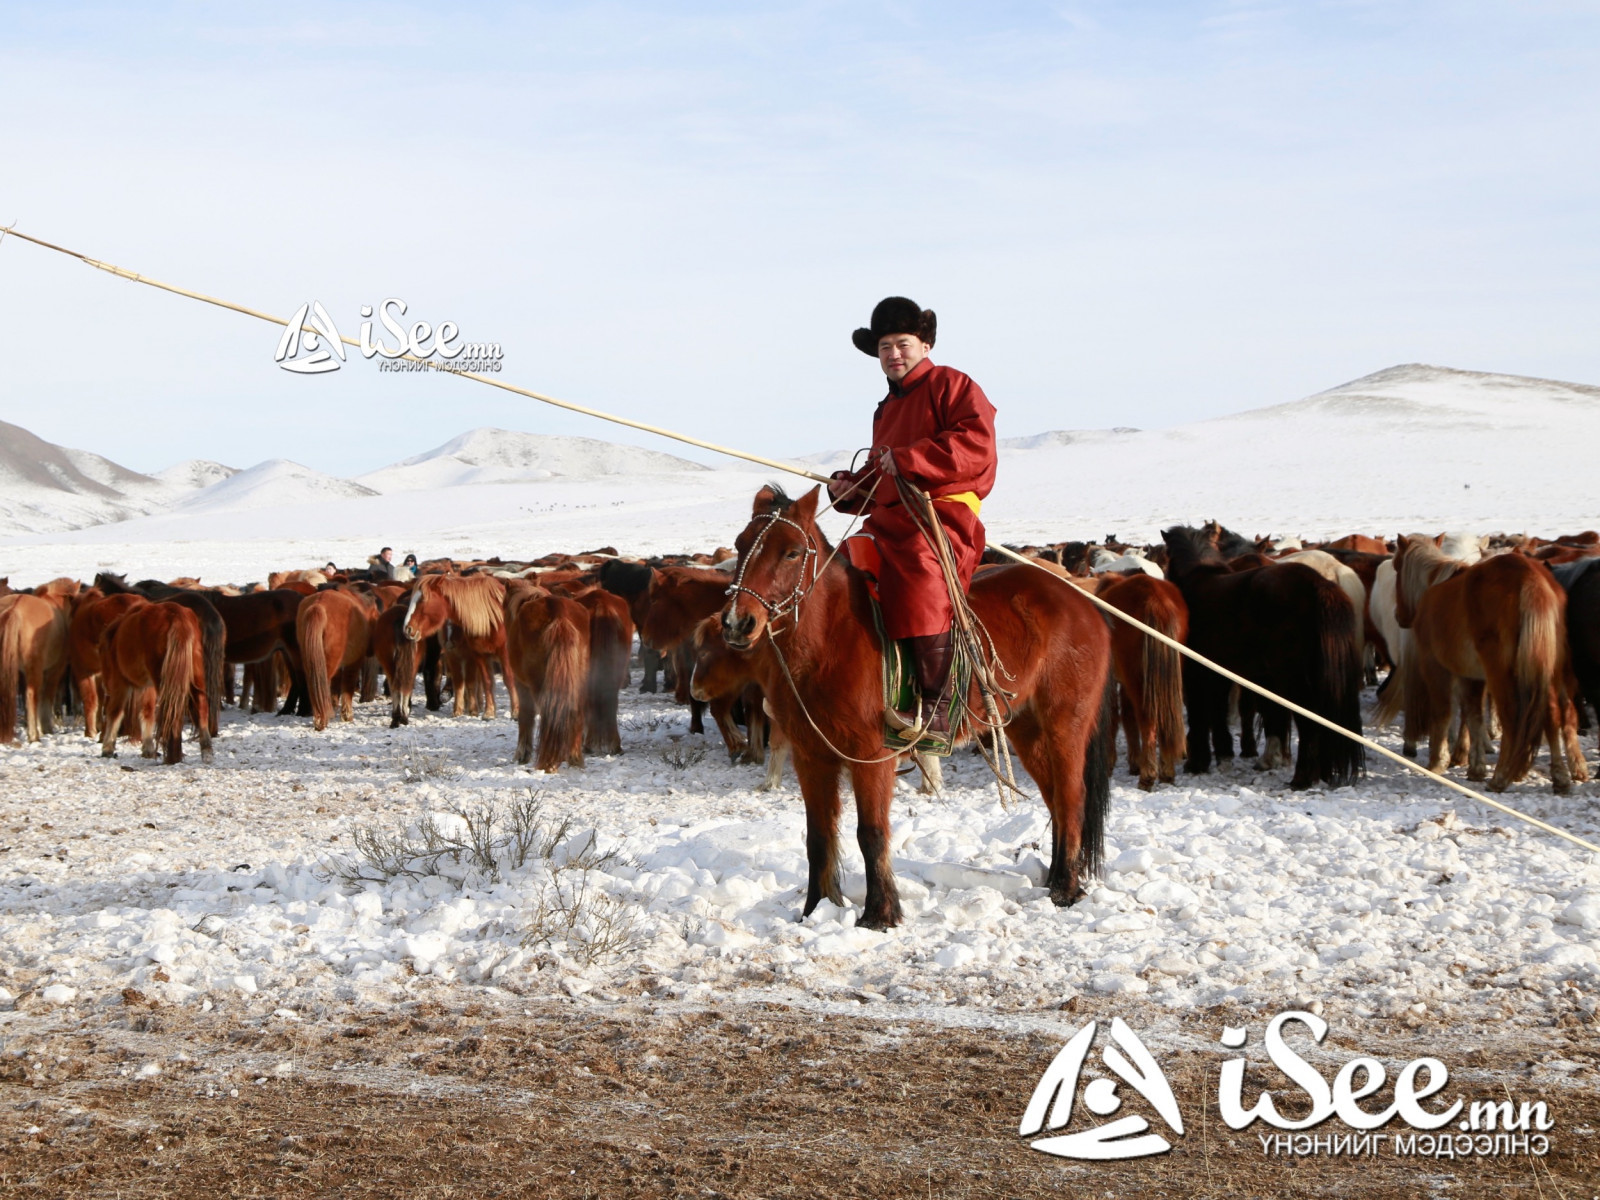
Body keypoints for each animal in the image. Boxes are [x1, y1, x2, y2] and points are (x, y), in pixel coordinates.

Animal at [97, 604, 212, 764]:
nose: (105, 686)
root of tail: (176, 614)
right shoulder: (148, 686)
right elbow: (147, 713)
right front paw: (148, 749)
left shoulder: (120, 682)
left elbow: (115, 712)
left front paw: (107, 748)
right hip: (195, 673)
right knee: (201, 706)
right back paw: (205, 751)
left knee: (173, 710)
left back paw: (172, 756)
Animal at [299, 588, 376, 732]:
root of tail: (319, 604)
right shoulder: (353, 662)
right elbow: (347, 686)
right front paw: (347, 715)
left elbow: (335, 686)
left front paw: (334, 706)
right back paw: (322, 720)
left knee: (314, 687)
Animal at [723, 489, 1113, 928]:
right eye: (740, 544)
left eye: (791, 552)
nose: (737, 623)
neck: (830, 639)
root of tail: (1085, 604)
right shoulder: (812, 756)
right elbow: (819, 836)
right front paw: (815, 910)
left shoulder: (871, 755)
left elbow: (871, 833)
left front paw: (880, 913)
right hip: (1026, 729)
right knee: (1055, 799)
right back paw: (1060, 879)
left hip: (1065, 726)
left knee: (1071, 797)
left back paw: (1066, 888)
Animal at [1395, 540, 1580, 793]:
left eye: (1396, 565)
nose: (1399, 616)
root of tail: (1529, 577)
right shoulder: (1471, 677)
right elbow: (1473, 716)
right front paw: (1476, 768)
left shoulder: (1436, 667)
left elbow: (1443, 712)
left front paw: (1437, 762)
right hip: (1549, 671)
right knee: (1552, 714)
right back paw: (1559, 777)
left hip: (1500, 673)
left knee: (1512, 716)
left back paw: (1500, 777)